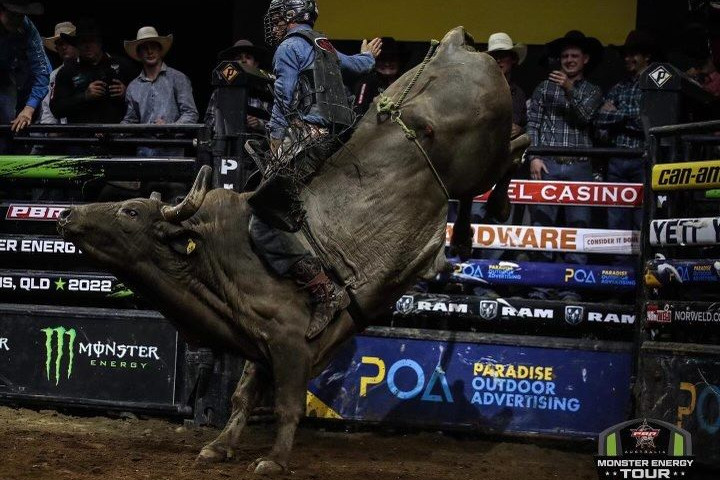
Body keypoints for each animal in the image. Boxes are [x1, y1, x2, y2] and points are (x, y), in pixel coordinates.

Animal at [56, 28, 528, 474]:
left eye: (131, 210)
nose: (66, 214)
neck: (211, 252)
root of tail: (453, 47)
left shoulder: (289, 341)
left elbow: (286, 405)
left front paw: (274, 460)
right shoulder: (261, 344)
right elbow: (243, 395)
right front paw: (219, 446)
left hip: (482, 155)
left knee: (516, 148)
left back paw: (492, 210)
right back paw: (463, 235)